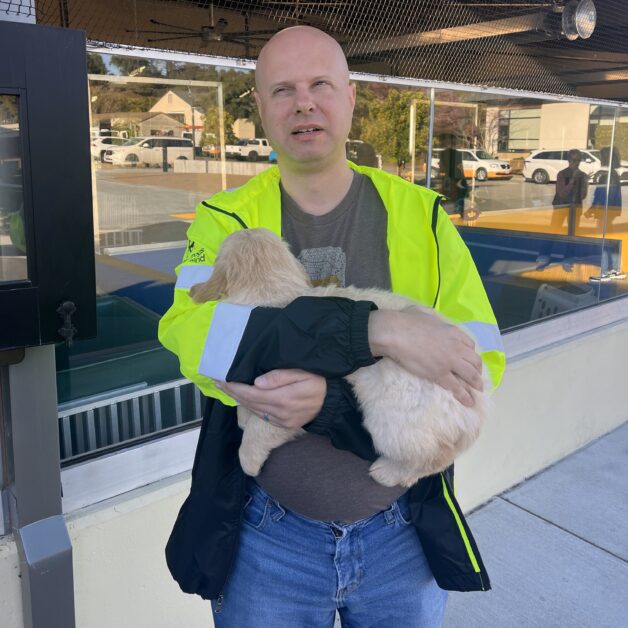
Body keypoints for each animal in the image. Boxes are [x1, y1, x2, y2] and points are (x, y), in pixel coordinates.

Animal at [189, 228, 488, 488]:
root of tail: (480, 403)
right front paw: (242, 415)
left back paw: (388, 472)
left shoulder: (287, 396)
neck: (270, 288)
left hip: (393, 423)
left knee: (435, 456)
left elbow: (259, 431)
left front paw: (247, 461)